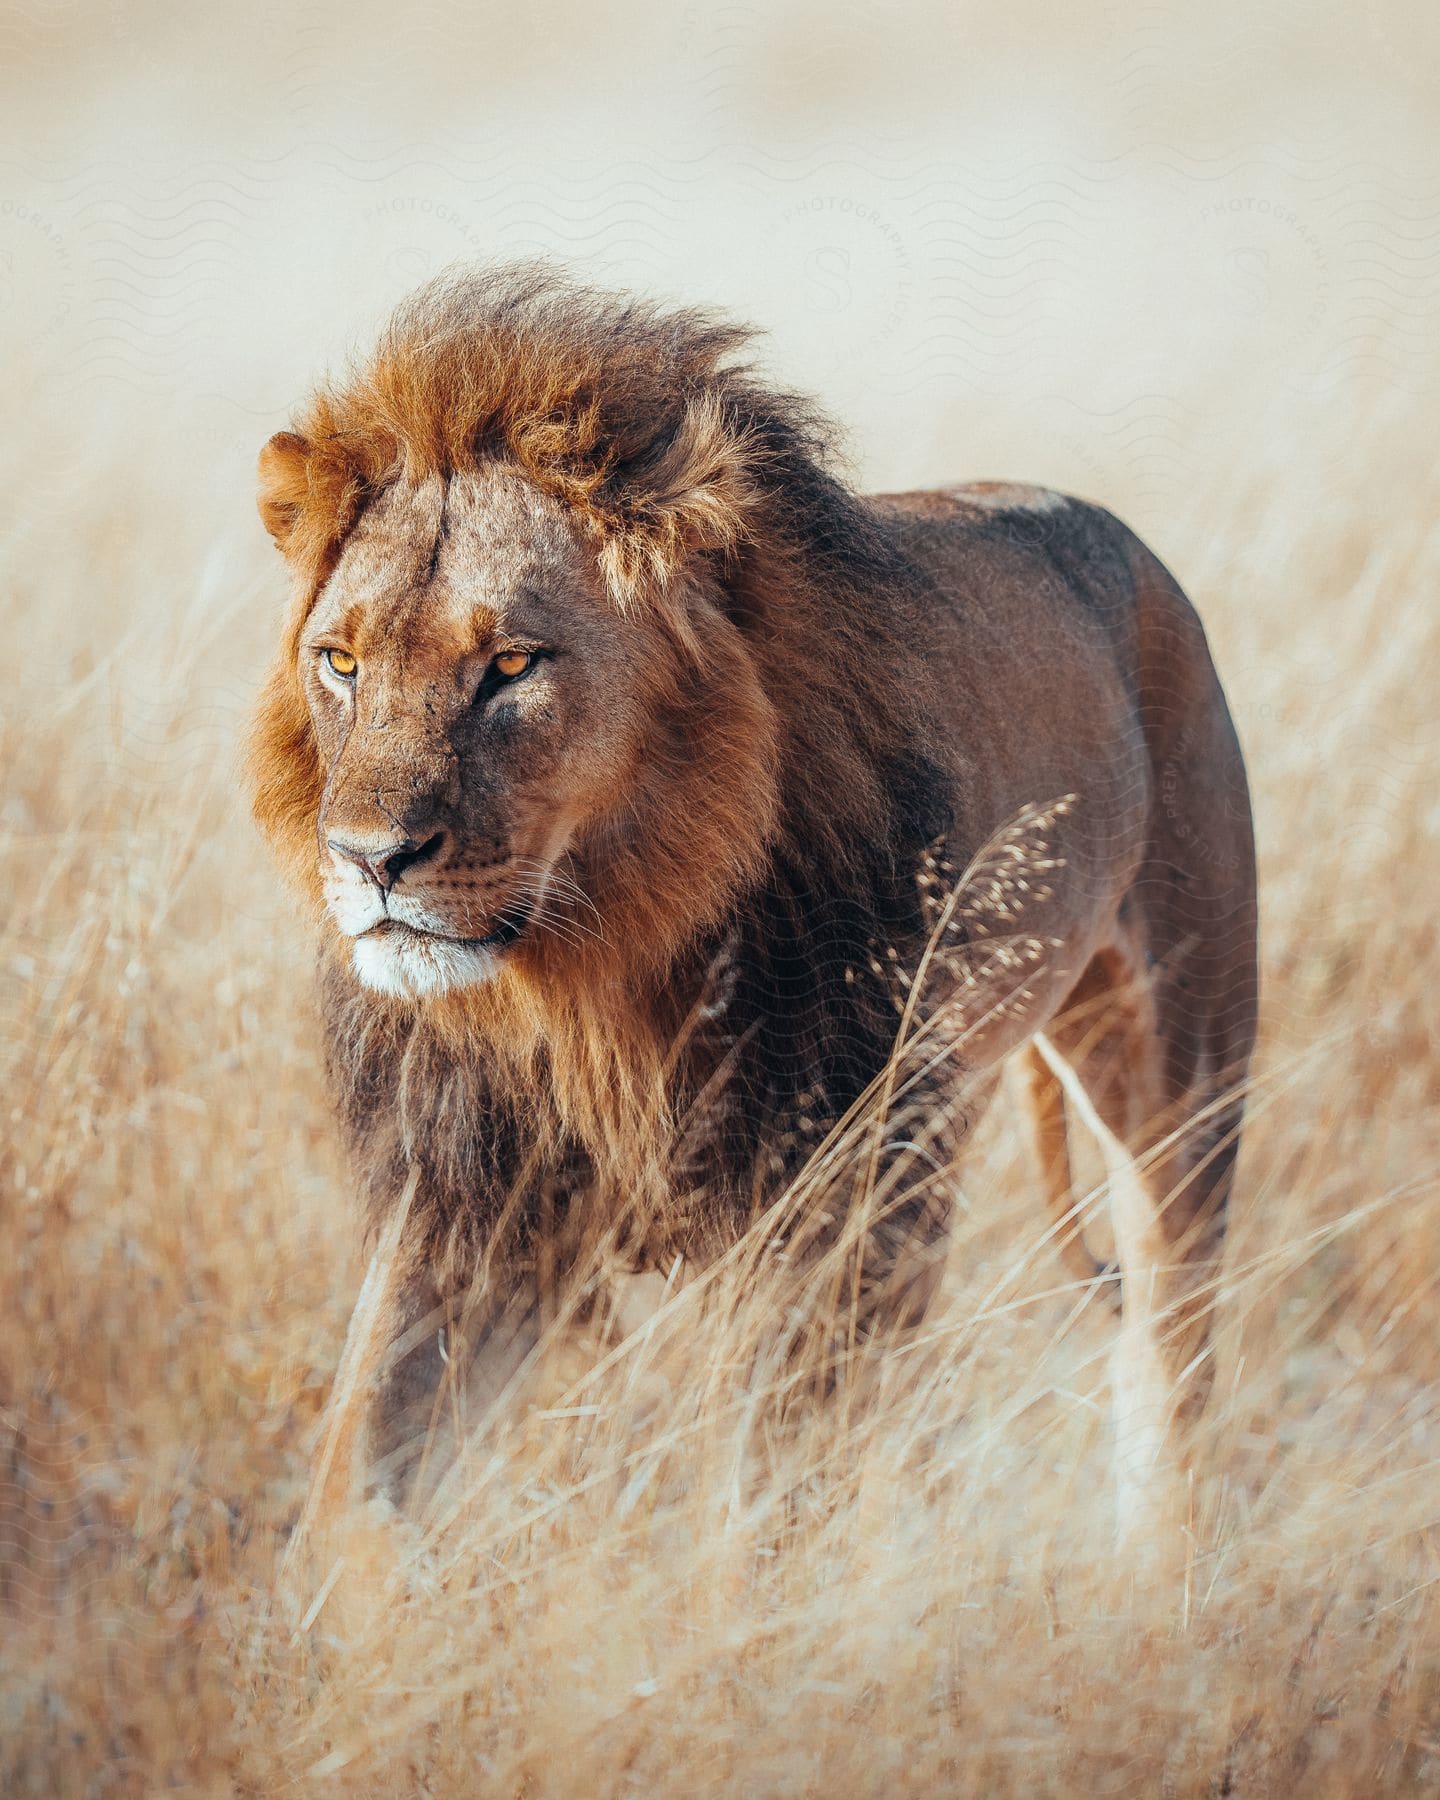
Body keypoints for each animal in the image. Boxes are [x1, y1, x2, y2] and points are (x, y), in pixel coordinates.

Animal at [253, 261, 1252, 1512]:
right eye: (340, 661)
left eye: (511, 665)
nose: (369, 858)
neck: (596, 969)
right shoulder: (470, 1203)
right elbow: (356, 1485)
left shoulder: (833, 1221)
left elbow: (767, 1509)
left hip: (1186, 1075)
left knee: (1171, 1366)